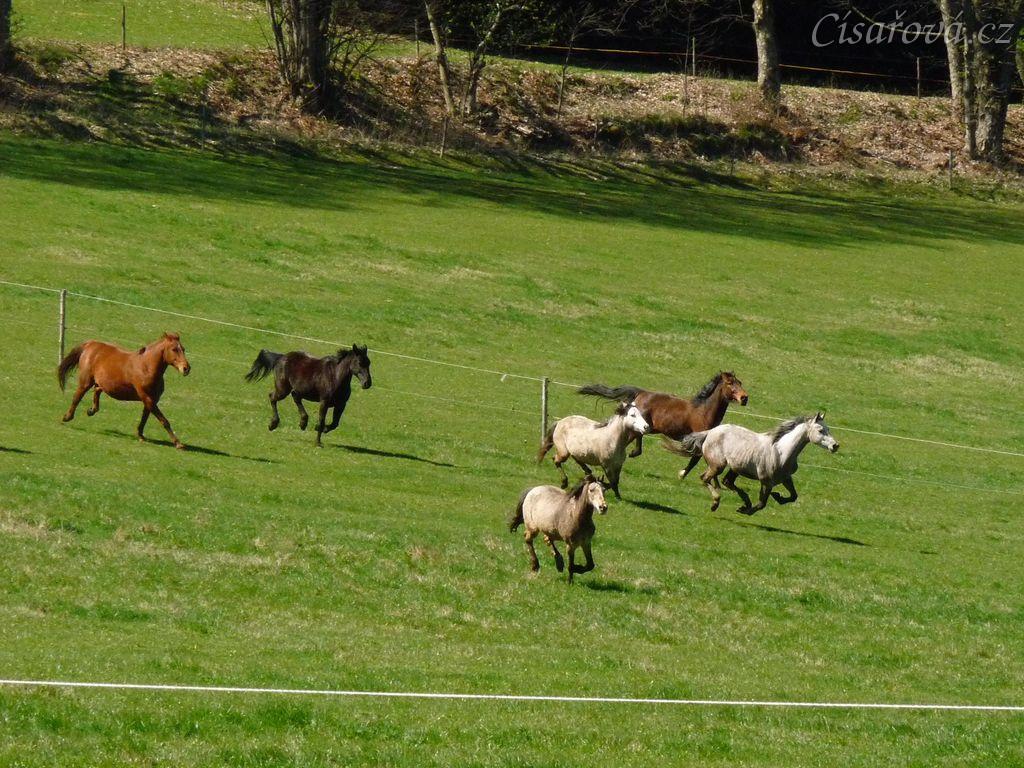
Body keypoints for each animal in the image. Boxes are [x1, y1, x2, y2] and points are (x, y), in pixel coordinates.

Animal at [57, 332, 192, 449]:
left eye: (183, 349)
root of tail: (90, 344)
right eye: (174, 349)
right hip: (85, 382)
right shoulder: (147, 398)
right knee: (77, 397)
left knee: (97, 389)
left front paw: (140, 436)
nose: (186, 368)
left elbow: (144, 419)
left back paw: (91, 410)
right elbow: (164, 421)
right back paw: (67, 417)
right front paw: (179, 444)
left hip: (101, 382)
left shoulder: (151, 400)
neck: (146, 367)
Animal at [578, 371, 749, 478]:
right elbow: (695, 459)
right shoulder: (698, 440)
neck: (703, 411)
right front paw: (682, 474)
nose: (744, 398)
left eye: (740, 382)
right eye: (730, 383)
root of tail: (641, 393)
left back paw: (633, 452)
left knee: (637, 437)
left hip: (646, 426)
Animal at [663, 412, 839, 515]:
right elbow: (761, 504)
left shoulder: (786, 478)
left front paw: (778, 497)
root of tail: (710, 432)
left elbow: (794, 496)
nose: (835, 446)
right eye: (820, 430)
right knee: (705, 478)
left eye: (828, 429)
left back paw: (744, 501)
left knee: (726, 482)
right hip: (718, 465)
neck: (781, 452)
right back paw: (715, 503)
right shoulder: (766, 481)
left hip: (734, 467)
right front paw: (745, 510)